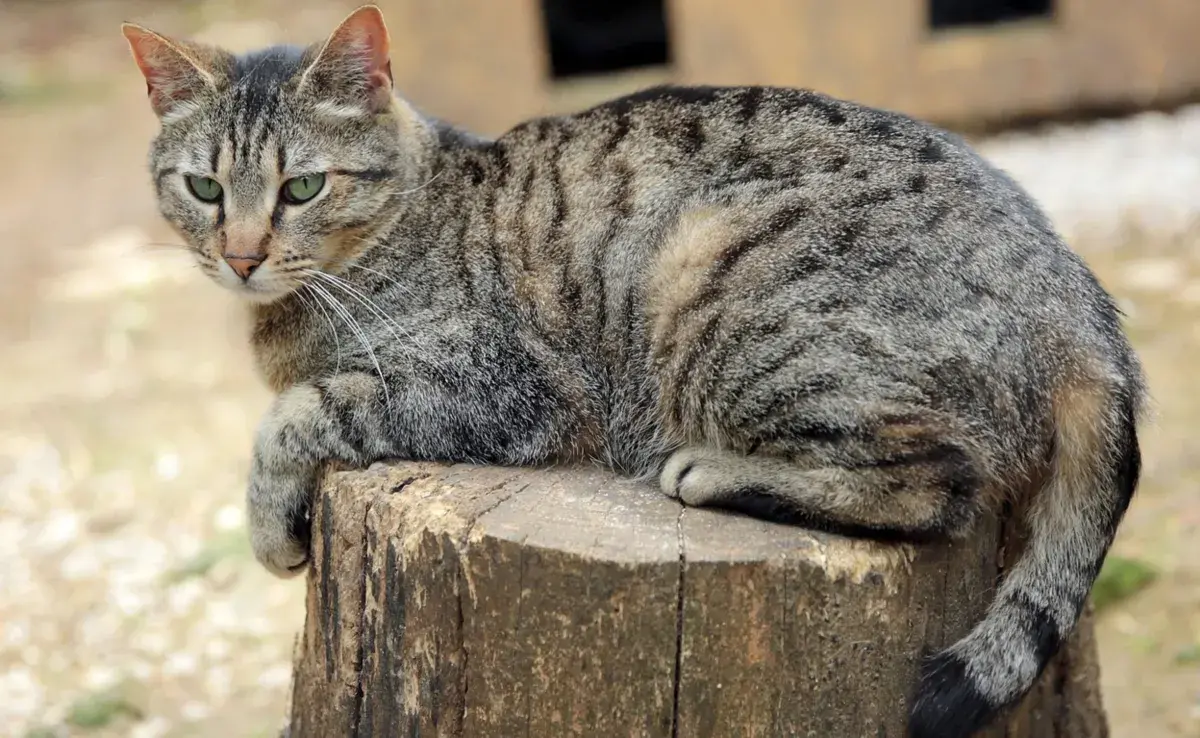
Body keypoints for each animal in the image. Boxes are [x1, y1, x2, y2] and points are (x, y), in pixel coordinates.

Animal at [119, 7, 1142, 738]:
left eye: (302, 187)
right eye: (204, 188)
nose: (242, 256)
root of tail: (1076, 293)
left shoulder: (498, 389)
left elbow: (296, 413)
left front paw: (268, 521)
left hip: (721, 289)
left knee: (940, 485)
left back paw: (715, 472)